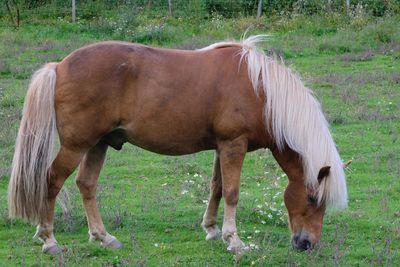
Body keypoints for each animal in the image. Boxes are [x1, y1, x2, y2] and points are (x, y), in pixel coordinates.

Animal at [8, 35, 346, 255]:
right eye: (313, 199)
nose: (307, 244)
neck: (260, 90)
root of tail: (59, 65)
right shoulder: (233, 145)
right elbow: (233, 192)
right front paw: (234, 241)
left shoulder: (222, 147)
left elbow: (217, 188)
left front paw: (212, 230)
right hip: (77, 145)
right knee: (52, 181)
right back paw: (49, 240)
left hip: (98, 144)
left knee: (86, 184)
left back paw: (104, 237)